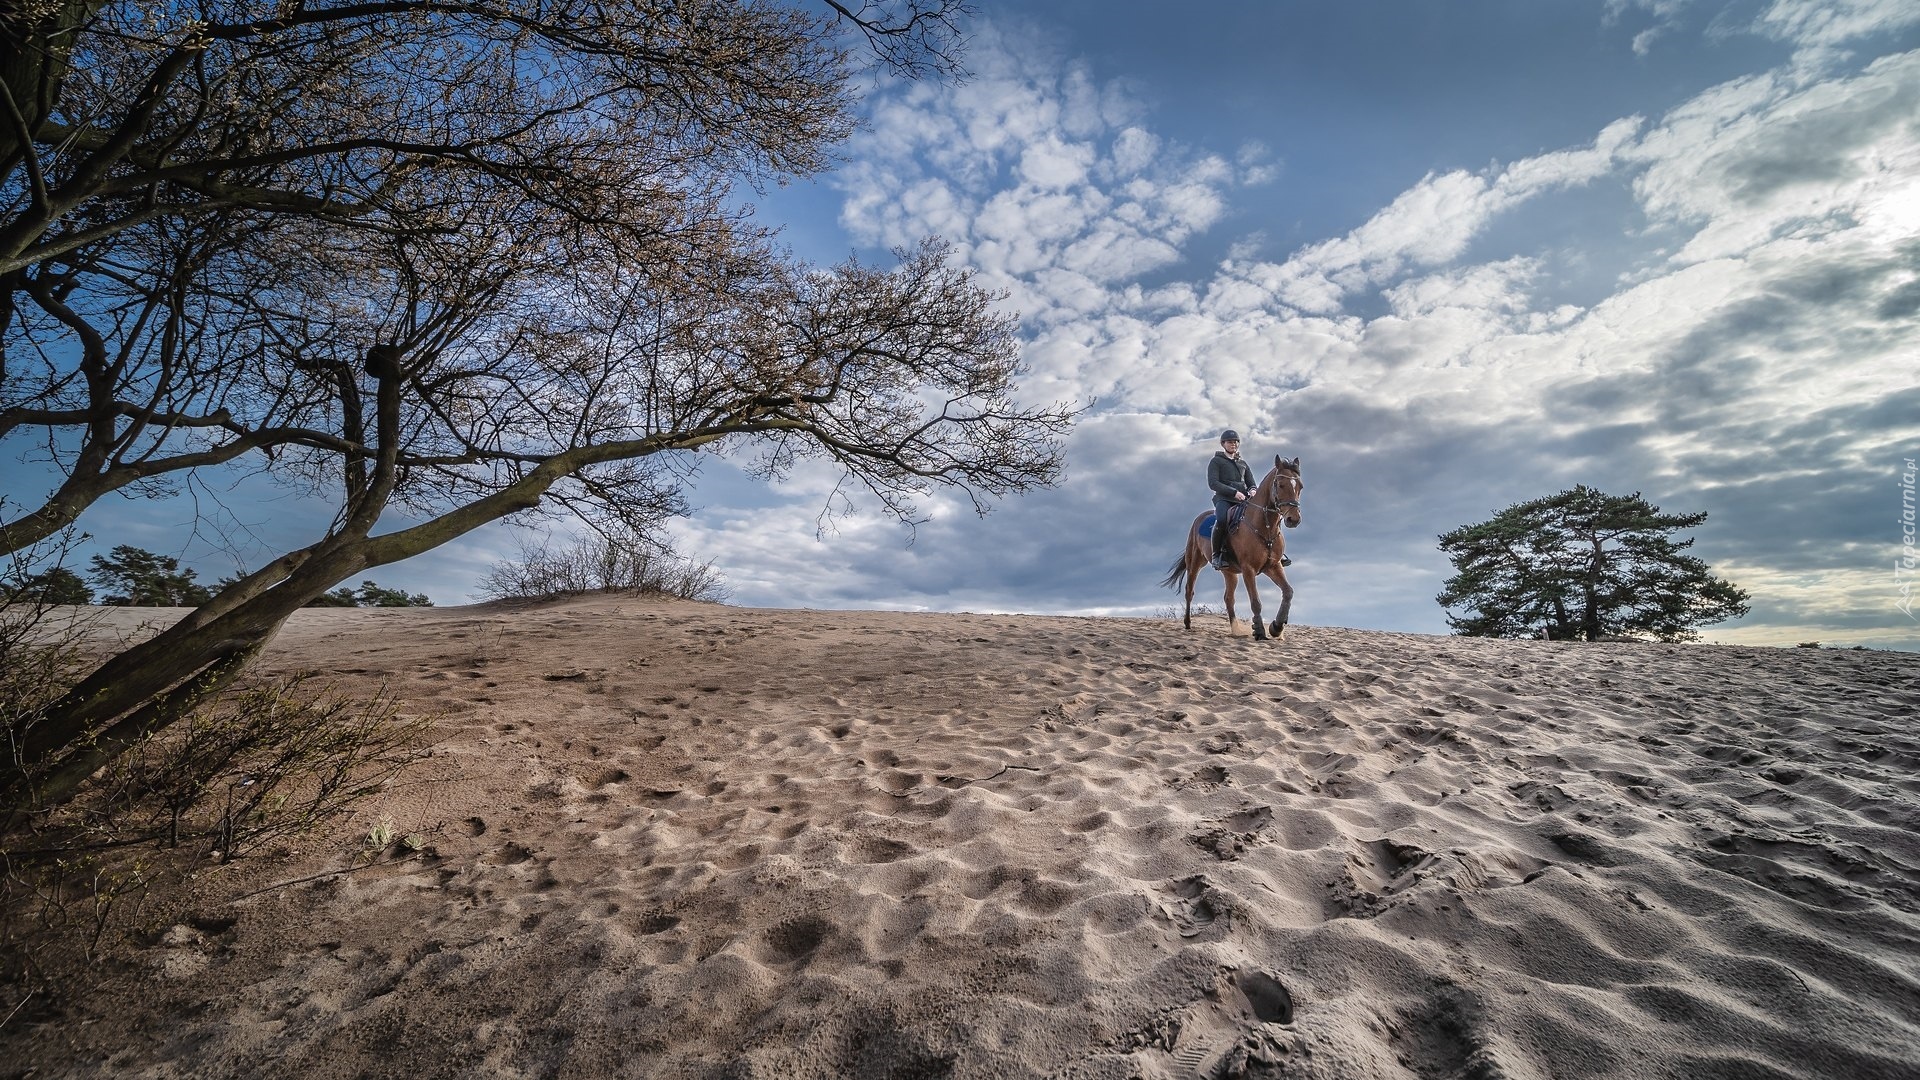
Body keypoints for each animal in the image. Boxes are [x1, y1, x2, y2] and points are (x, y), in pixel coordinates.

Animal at [1152, 453, 1305, 638]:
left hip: (1229, 572)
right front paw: (1260, 631)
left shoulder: (1273, 566)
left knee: (1228, 598)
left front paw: (1276, 627)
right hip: (1195, 563)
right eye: (1281, 485)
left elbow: (1288, 592)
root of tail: (1200, 518)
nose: (1294, 519)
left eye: (1300, 487)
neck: (1264, 527)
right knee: (1189, 590)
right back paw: (1188, 623)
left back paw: (1235, 630)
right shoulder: (1248, 569)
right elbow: (1256, 602)